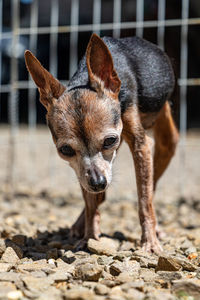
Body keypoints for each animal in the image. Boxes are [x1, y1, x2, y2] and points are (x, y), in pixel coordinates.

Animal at [24, 33, 179, 253]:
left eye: (109, 141)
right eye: (65, 150)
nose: (98, 182)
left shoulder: (141, 145)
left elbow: (144, 199)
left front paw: (149, 242)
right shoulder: (81, 169)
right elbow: (90, 202)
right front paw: (89, 237)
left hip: (165, 139)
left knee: (152, 185)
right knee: (99, 196)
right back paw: (81, 223)